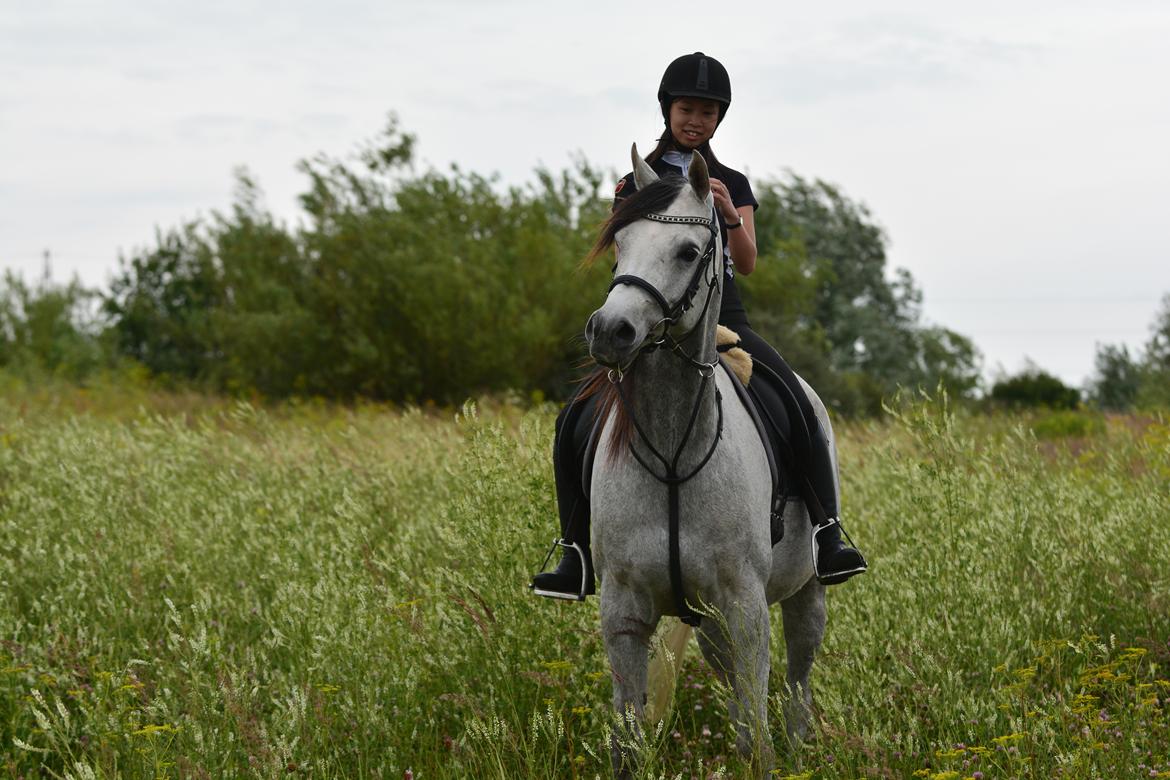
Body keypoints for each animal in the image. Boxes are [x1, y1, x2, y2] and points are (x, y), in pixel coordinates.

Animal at [589, 145, 828, 776]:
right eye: (619, 243)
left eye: (689, 251)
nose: (610, 331)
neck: (675, 449)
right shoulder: (623, 609)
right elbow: (627, 737)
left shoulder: (745, 606)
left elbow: (757, 736)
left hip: (806, 595)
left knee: (796, 683)